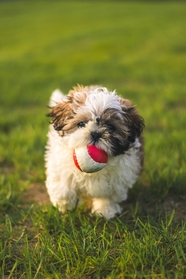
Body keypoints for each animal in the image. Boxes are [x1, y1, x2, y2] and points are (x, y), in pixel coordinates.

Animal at [44, 85, 144, 221]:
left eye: (111, 127)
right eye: (81, 124)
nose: (95, 133)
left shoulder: (117, 179)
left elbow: (107, 196)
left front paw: (105, 211)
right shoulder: (60, 165)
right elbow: (63, 188)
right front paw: (66, 206)